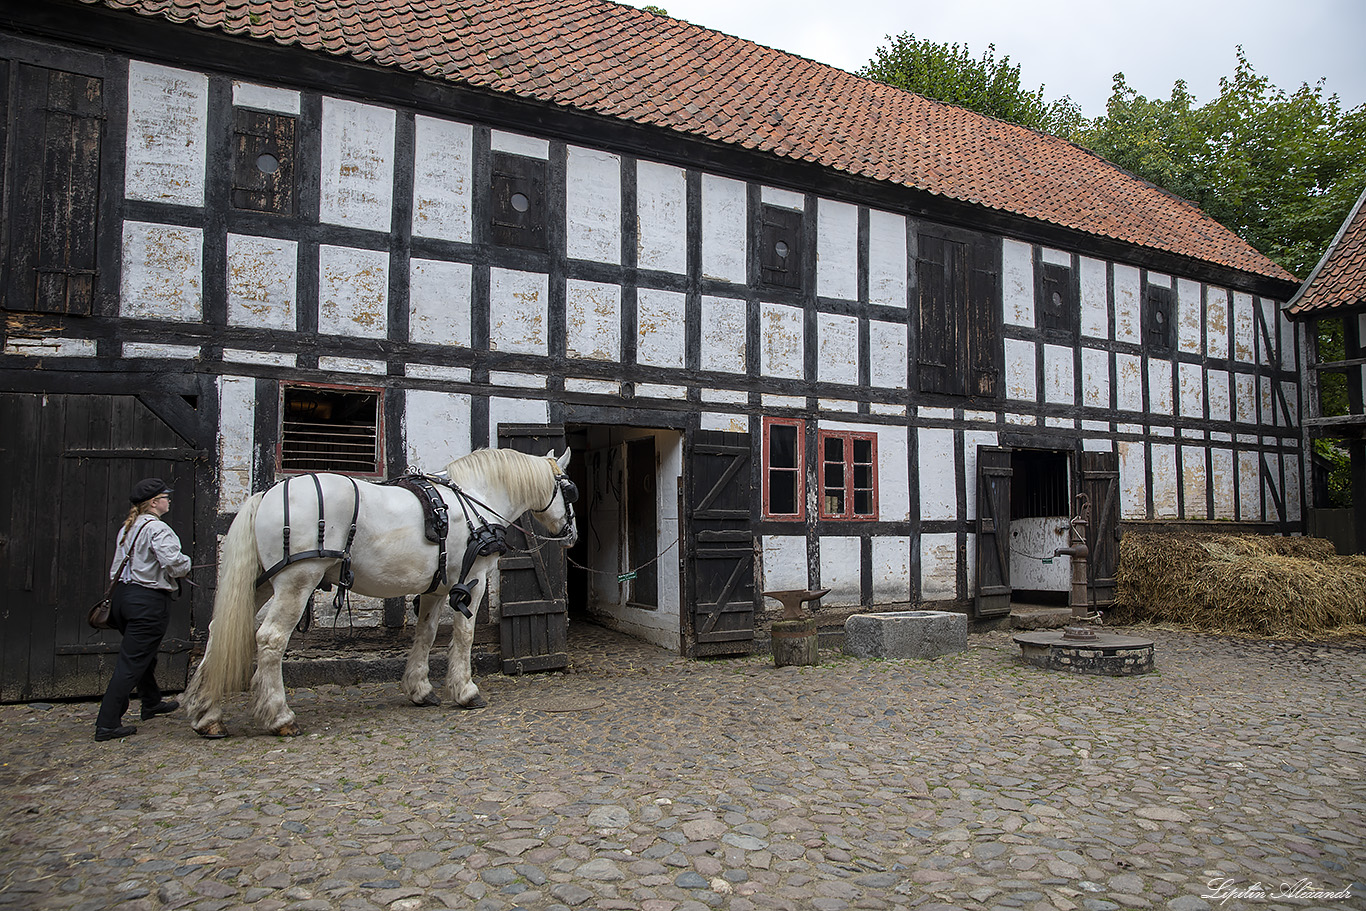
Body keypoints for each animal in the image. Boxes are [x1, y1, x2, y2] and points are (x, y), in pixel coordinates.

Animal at [183, 447, 576, 743]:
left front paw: (420, 689)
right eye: (570, 490)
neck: (476, 500)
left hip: (261, 582)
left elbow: (425, 634)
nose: (571, 535)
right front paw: (465, 691)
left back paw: (207, 716)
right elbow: (464, 635)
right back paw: (280, 716)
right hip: (297, 580)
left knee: (220, 631)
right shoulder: (475, 578)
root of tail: (265, 495)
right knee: (271, 638)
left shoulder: (435, 586)